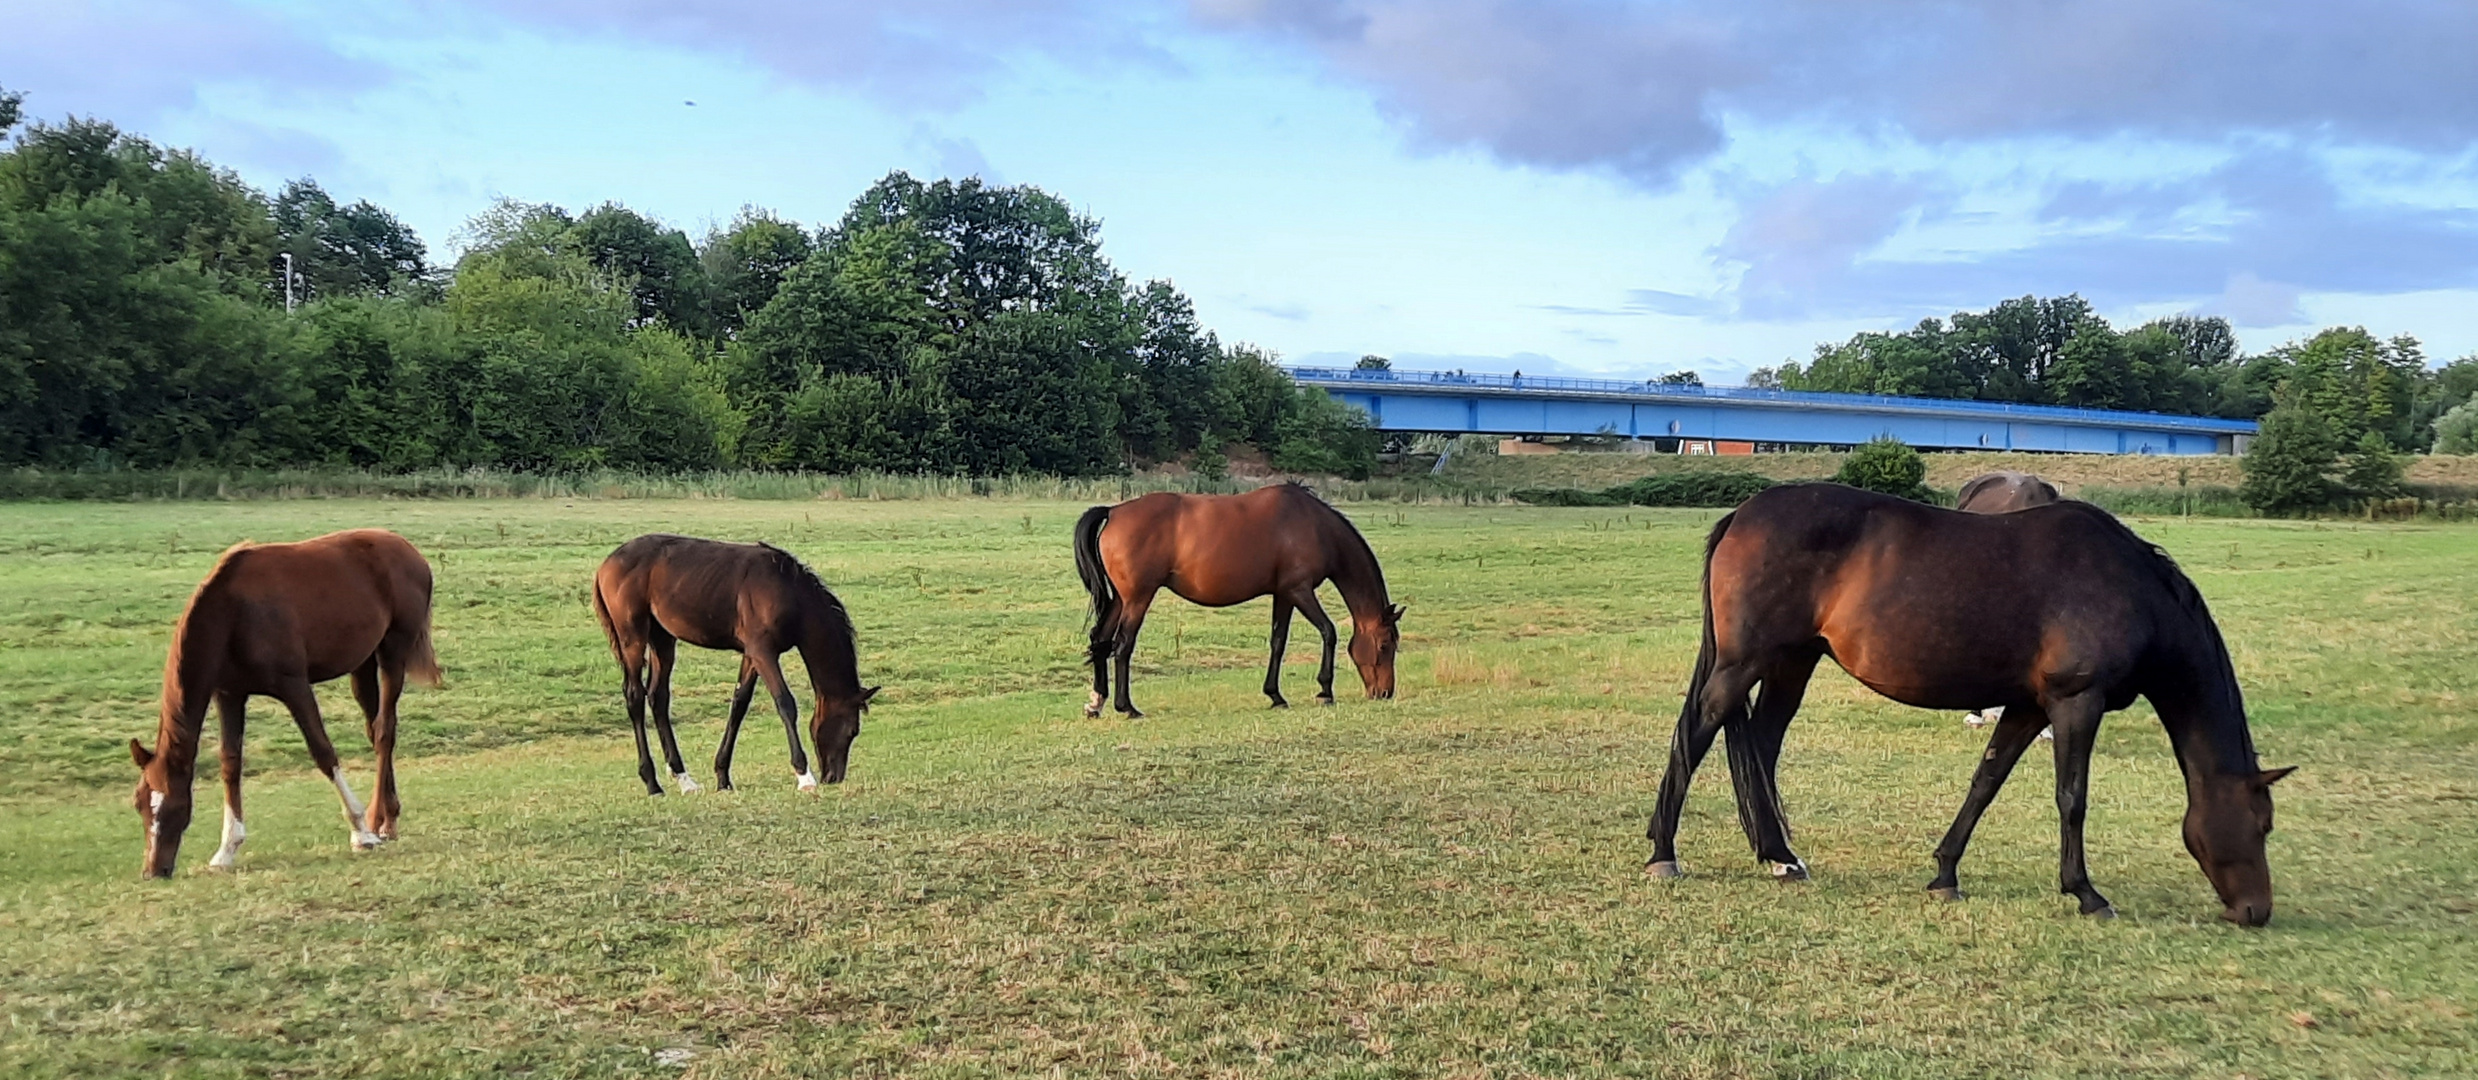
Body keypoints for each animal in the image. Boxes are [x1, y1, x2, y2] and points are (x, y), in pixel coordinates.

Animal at [126, 530, 441, 876]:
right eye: (139, 803)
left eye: (171, 805)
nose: (153, 870)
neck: (233, 614)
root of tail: (409, 551)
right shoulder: (229, 694)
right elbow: (230, 763)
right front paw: (227, 848)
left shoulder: (294, 686)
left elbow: (323, 751)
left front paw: (359, 832)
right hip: (363, 664)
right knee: (375, 729)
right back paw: (386, 817)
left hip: (393, 654)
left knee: (385, 731)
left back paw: (377, 822)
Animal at [592, 535, 882, 797]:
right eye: (852, 730)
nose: (833, 777)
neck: (789, 591)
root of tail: (605, 565)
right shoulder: (763, 652)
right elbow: (785, 703)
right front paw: (804, 776)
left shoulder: (752, 654)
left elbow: (739, 704)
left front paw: (722, 777)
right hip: (633, 637)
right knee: (635, 697)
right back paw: (652, 783)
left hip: (662, 638)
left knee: (658, 697)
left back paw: (685, 780)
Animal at [1075, 483, 1407, 718]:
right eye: (1384, 645)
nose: (1384, 692)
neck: (1314, 525)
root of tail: (1114, 511)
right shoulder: (1300, 591)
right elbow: (1329, 632)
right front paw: (1325, 692)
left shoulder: (1283, 594)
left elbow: (1278, 642)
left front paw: (1275, 695)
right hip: (1138, 598)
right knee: (1123, 644)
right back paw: (1127, 707)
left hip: (1121, 599)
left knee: (1100, 639)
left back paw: (1096, 703)